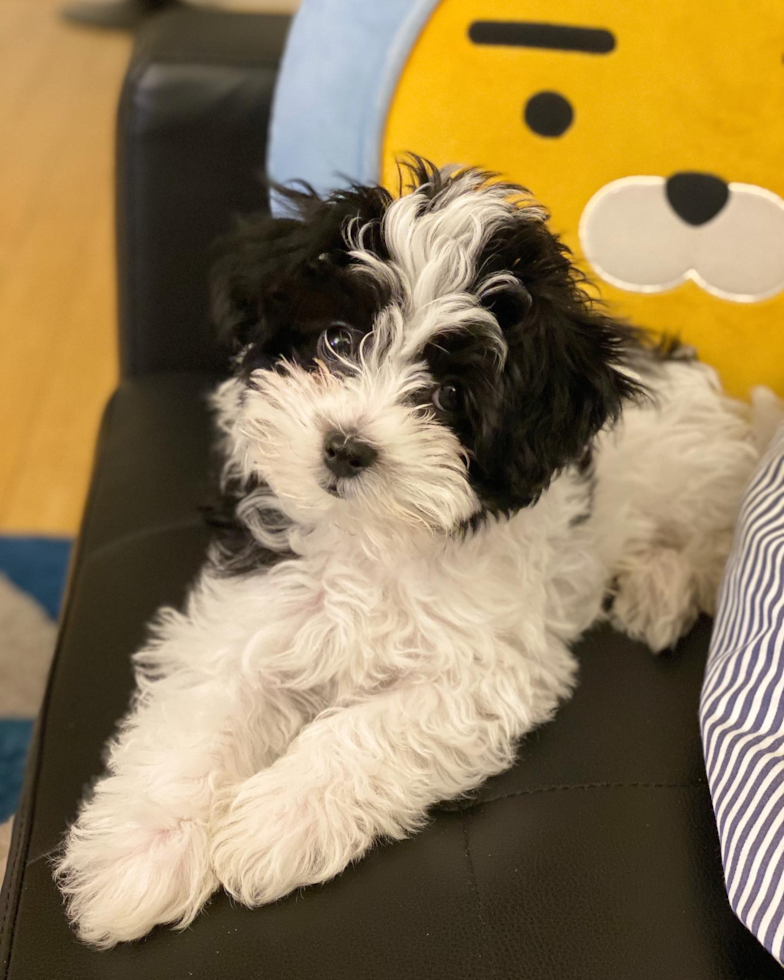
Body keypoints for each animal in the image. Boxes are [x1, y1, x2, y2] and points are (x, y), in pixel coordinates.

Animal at [53, 163, 760, 948]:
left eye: (448, 395)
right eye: (336, 339)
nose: (346, 447)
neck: (372, 537)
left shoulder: (482, 672)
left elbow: (365, 731)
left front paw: (273, 822)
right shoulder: (249, 613)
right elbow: (203, 719)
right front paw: (139, 855)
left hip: (689, 473)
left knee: (711, 537)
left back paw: (662, 591)